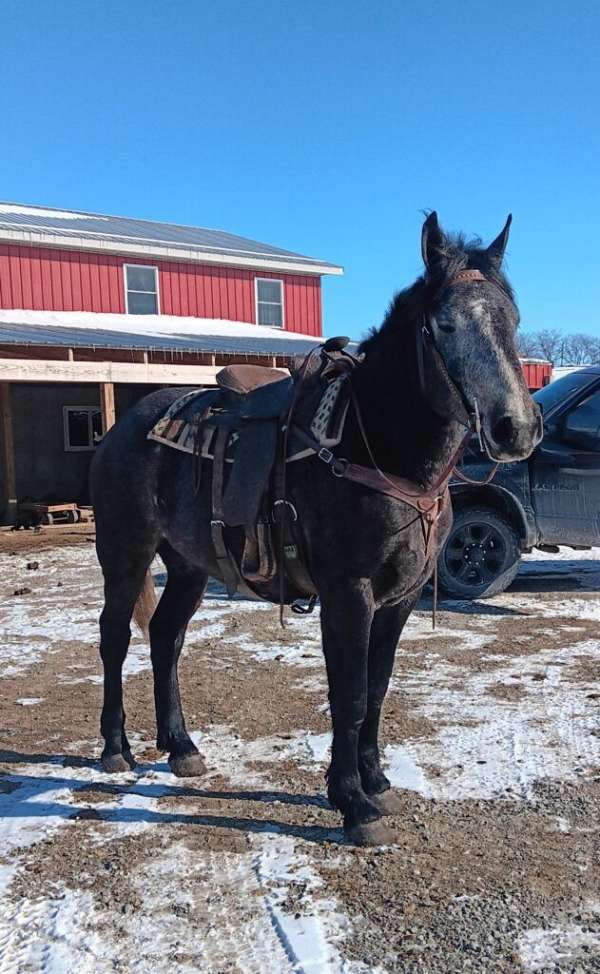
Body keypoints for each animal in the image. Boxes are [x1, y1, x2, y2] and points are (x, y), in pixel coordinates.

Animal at [91, 214, 540, 848]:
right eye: (445, 324)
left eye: (512, 321)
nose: (514, 428)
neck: (375, 448)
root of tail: (123, 425)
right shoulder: (348, 593)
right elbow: (347, 693)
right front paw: (352, 803)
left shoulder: (399, 599)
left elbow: (376, 688)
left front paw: (374, 780)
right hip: (125, 553)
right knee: (114, 637)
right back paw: (115, 747)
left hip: (188, 566)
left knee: (165, 638)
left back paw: (180, 747)